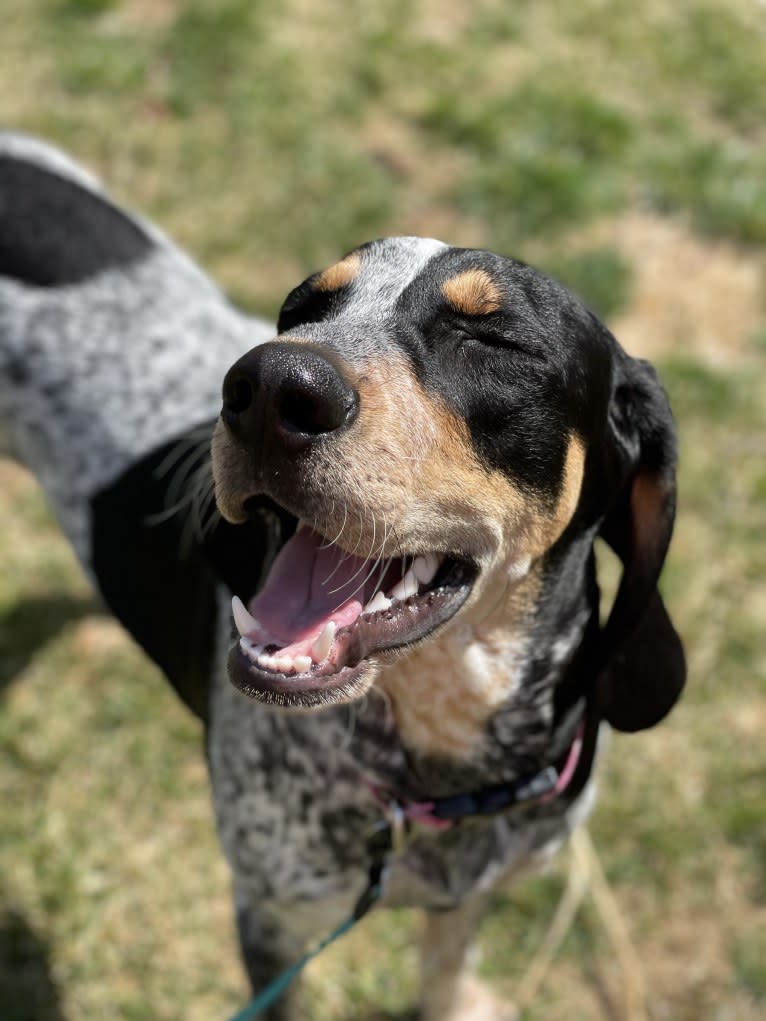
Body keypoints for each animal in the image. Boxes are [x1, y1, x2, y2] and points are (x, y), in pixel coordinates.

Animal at [0, 133, 682, 1012]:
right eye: (301, 311)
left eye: (493, 342)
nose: (266, 387)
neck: (433, 771)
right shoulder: (270, 917)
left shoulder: (477, 889)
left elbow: (446, 964)